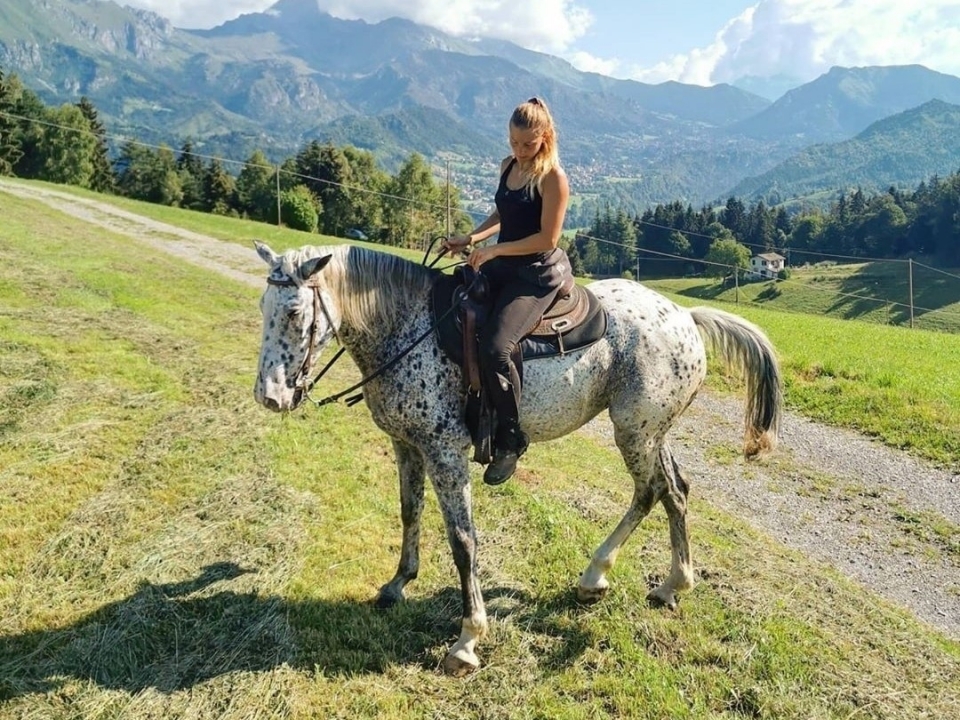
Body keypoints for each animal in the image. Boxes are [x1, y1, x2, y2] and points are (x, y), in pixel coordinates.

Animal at [252, 241, 783, 676]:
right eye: (263, 306)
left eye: (296, 312)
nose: (270, 397)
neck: (409, 328)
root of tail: (686, 317)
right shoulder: (408, 446)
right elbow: (408, 513)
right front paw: (398, 584)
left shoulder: (445, 453)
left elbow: (463, 542)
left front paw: (467, 641)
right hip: (650, 432)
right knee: (668, 490)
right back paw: (635, 581)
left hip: (636, 431)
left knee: (658, 489)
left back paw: (637, 579)